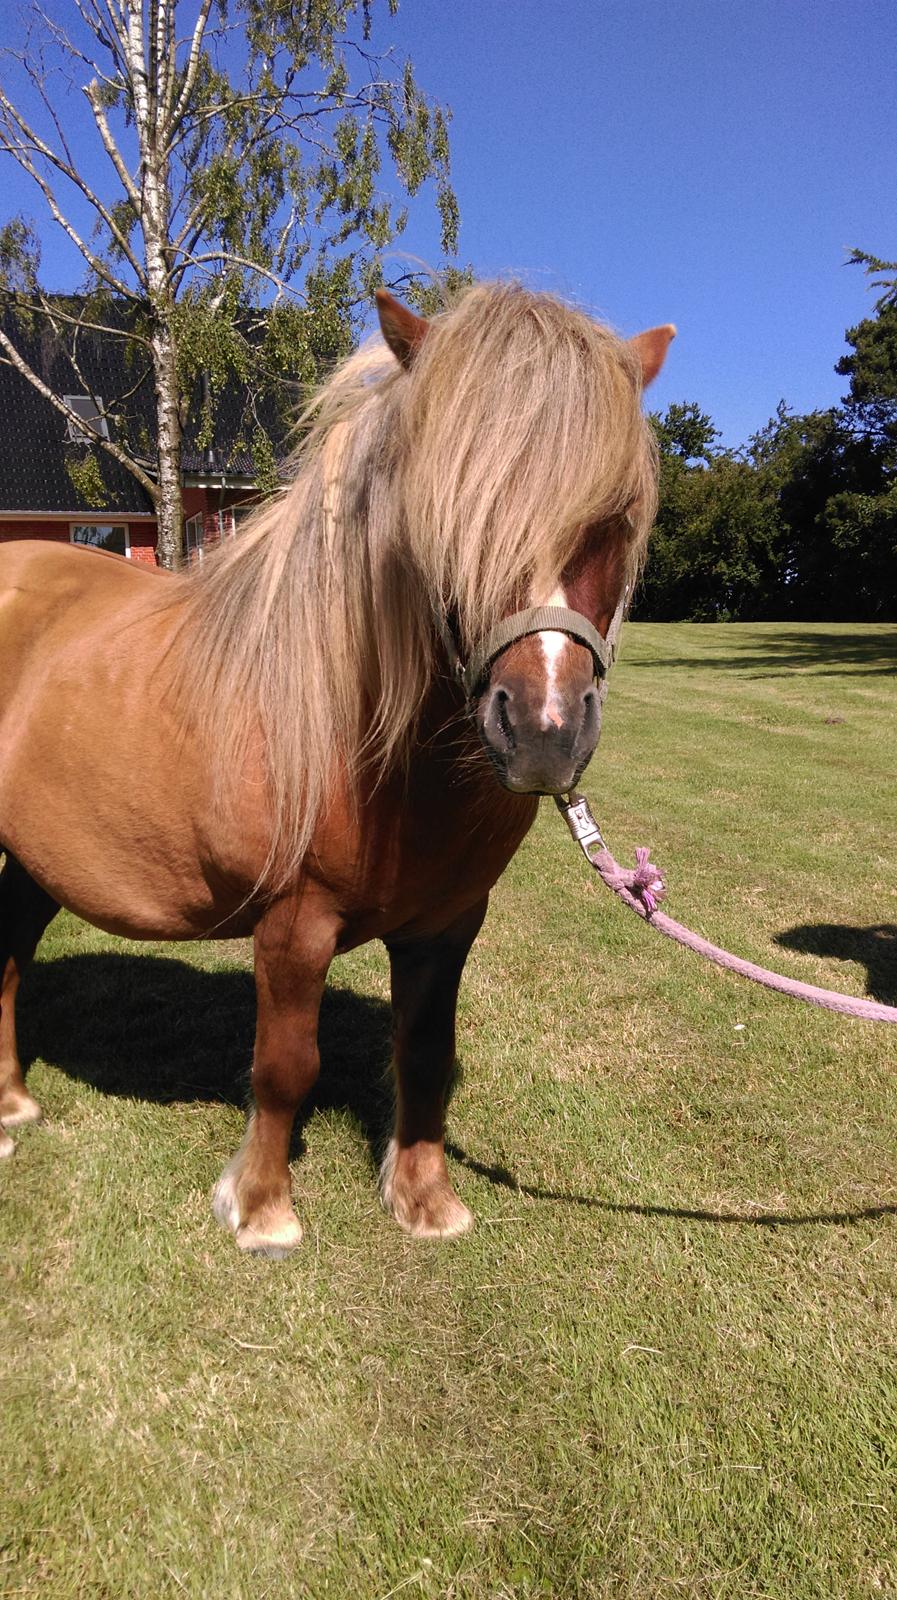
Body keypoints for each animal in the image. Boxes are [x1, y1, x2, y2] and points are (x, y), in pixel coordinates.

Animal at [0, 291, 671, 1260]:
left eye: (612, 519)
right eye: (441, 515)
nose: (543, 731)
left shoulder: (447, 926)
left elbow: (424, 1053)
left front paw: (424, 1199)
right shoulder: (294, 922)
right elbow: (286, 1066)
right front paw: (261, 1209)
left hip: (37, 856)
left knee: (10, 949)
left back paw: (13, 1101)